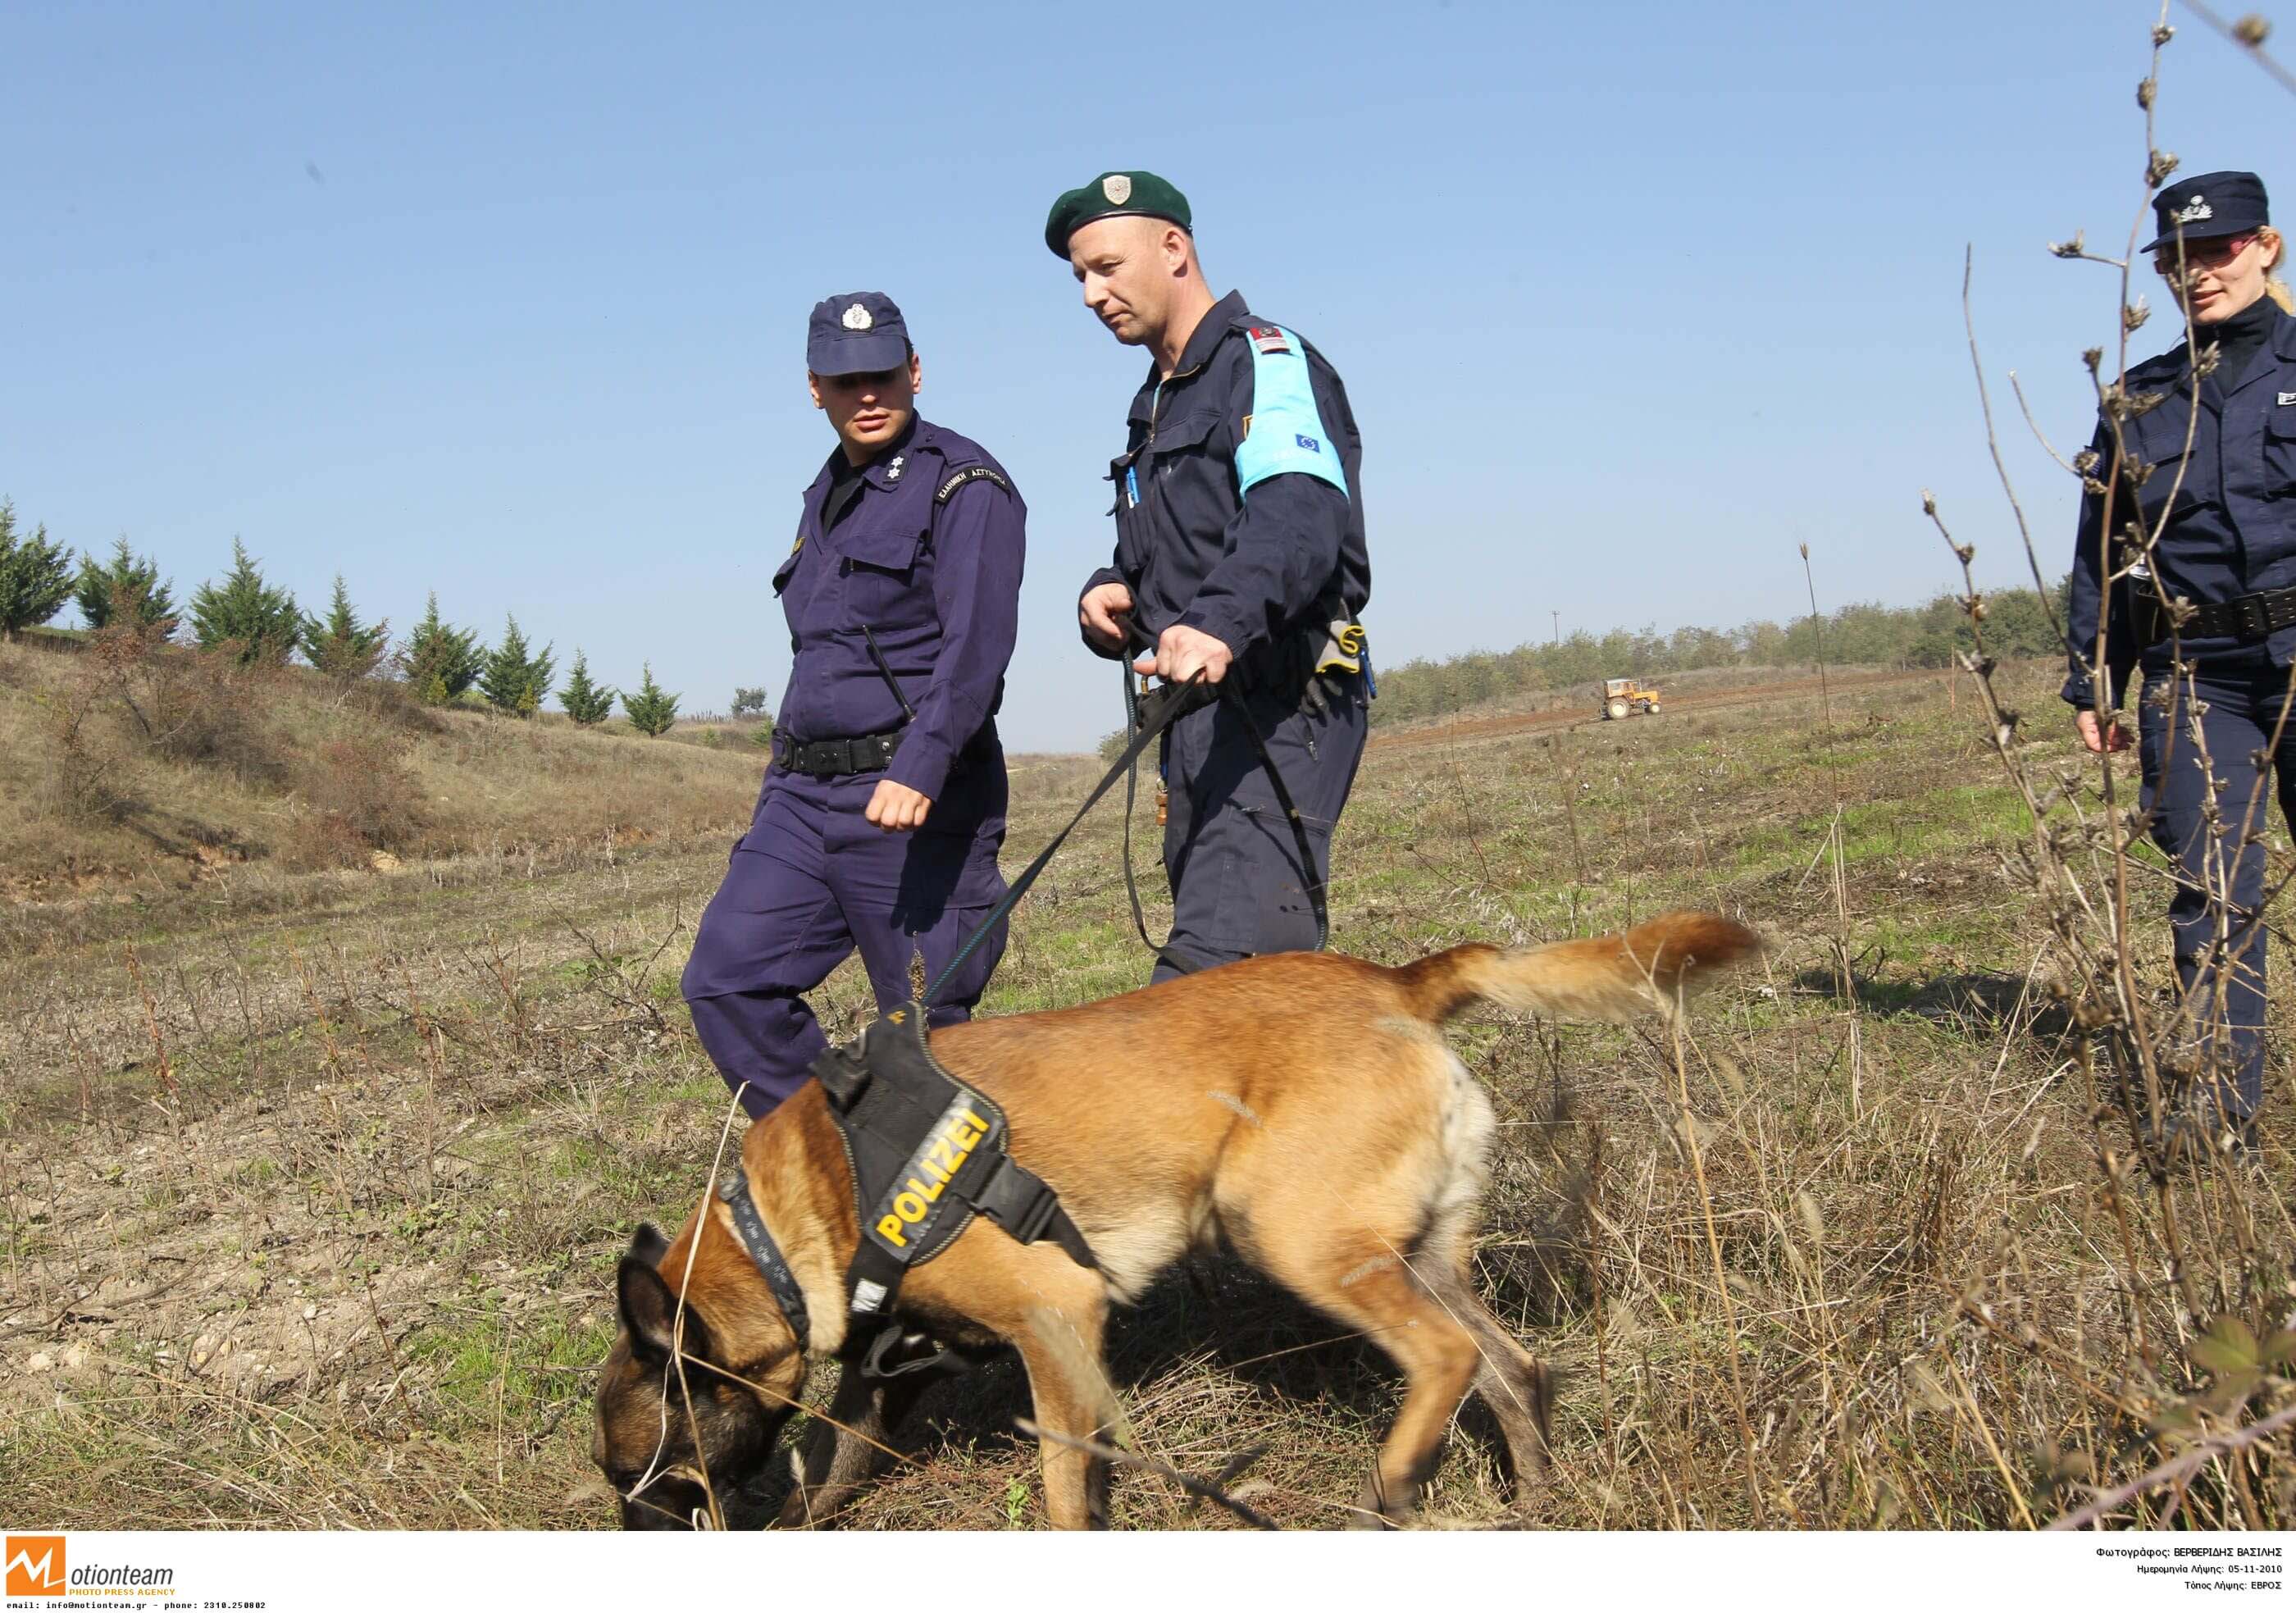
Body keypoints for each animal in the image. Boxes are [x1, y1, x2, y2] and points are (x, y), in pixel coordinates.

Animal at [592, 909, 1754, 1525]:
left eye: (635, 1472)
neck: (786, 1222)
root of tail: (1397, 983)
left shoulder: (1056, 1314)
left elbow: (1065, 1482)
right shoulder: (895, 1365)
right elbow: (837, 1461)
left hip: (1288, 1235)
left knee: (1448, 1357)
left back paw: (1392, 1477)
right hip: (1415, 1250)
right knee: (1514, 1365)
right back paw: (1533, 1497)